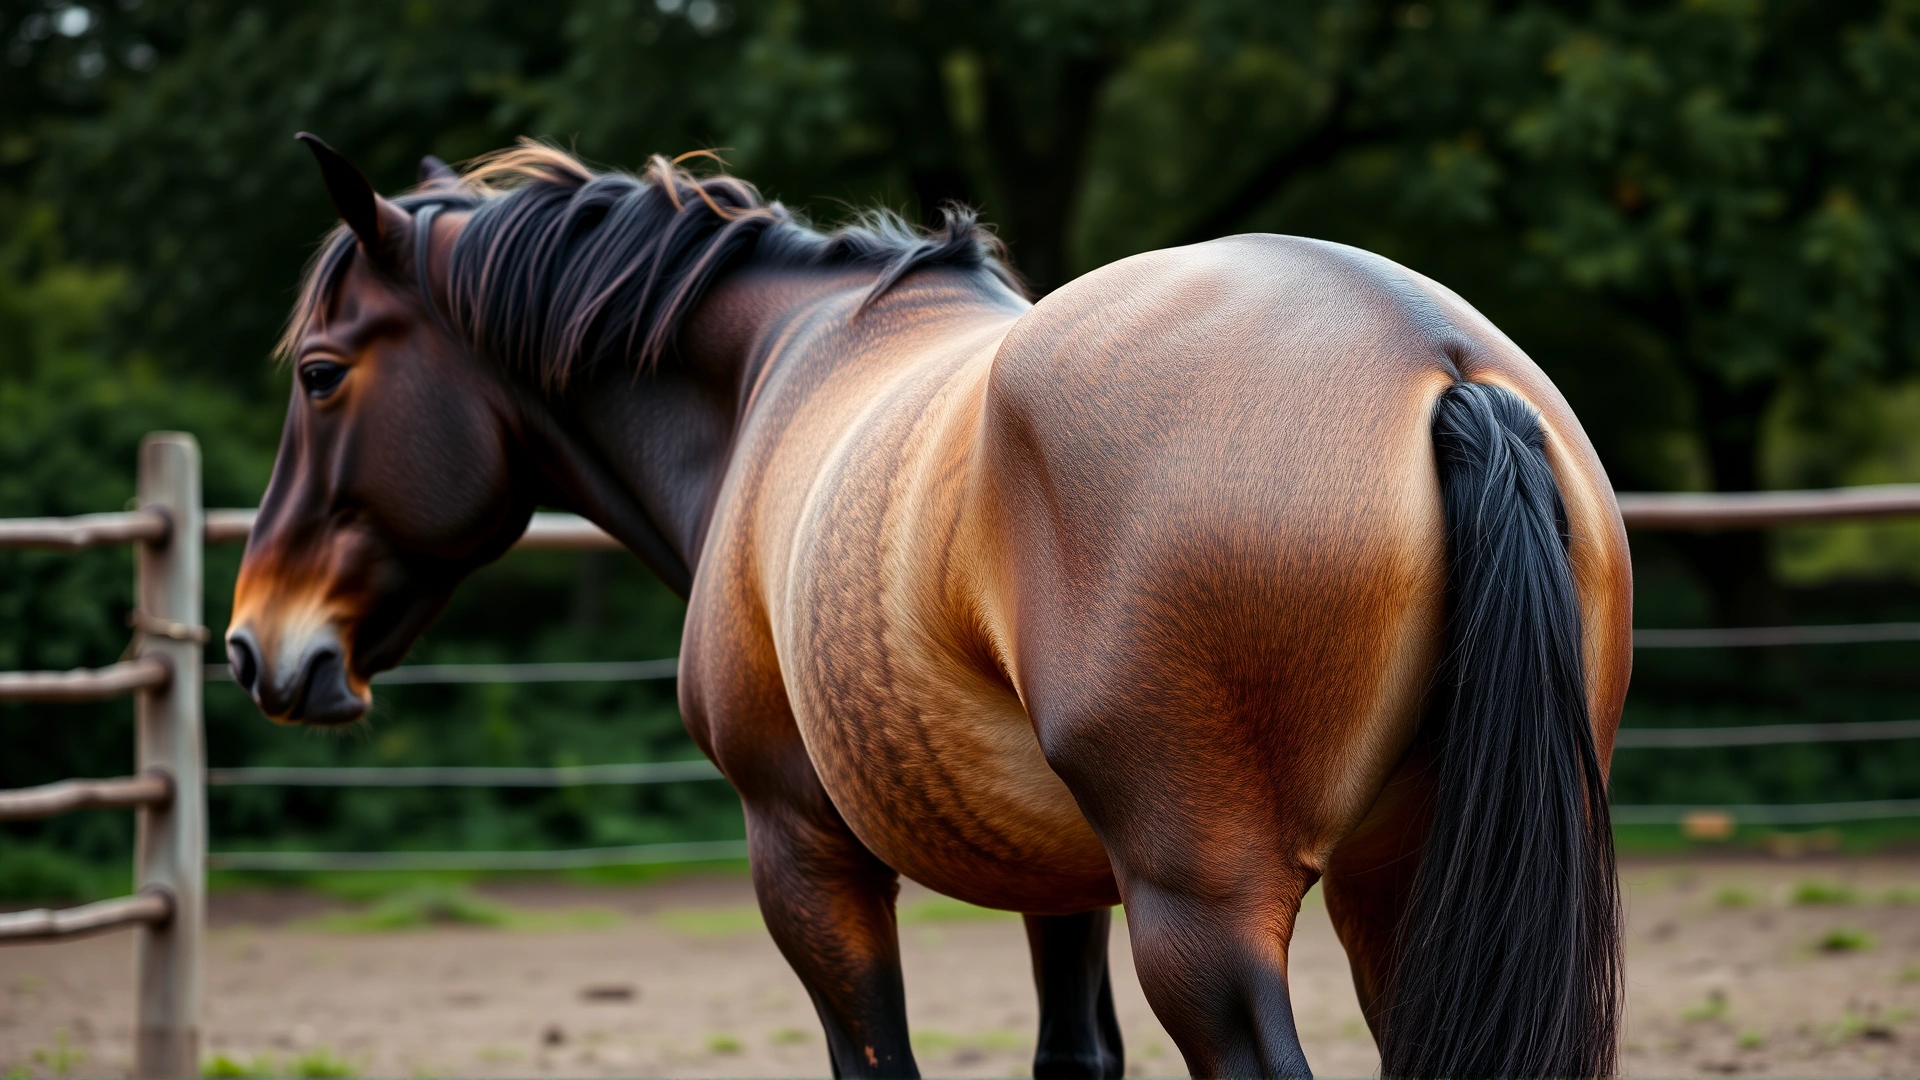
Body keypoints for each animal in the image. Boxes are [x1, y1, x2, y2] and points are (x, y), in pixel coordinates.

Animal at [227, 133, 1630, 1079]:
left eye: (320, 374)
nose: (254, 643)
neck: (773, 374)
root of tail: (1437, 361)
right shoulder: (1066, 885)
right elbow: (1072, 1055)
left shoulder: (803, 852)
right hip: (1407, 887)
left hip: (1210, 921)